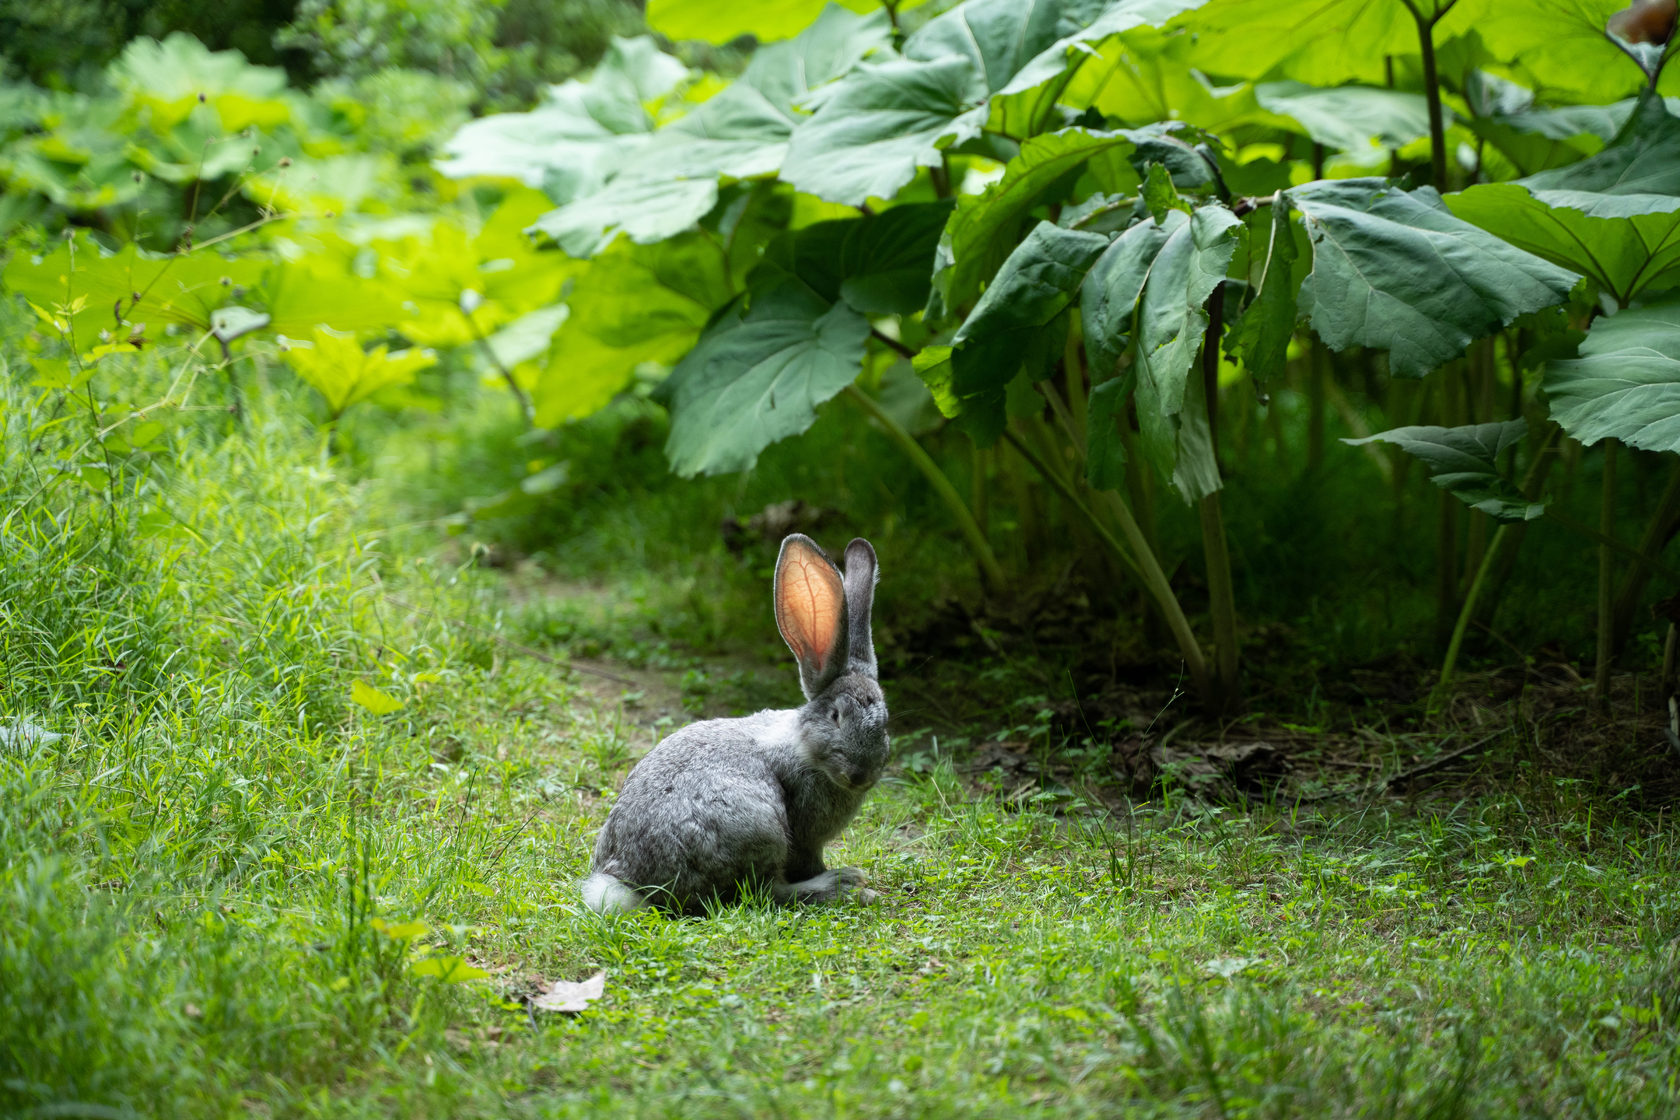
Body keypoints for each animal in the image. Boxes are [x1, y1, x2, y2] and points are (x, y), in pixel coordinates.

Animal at [584, 533, 887, 913]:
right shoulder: (805, 838)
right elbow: (807, 861)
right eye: (836, 716)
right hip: (761, 830)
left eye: (885, 723)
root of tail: (629, 883)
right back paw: (845, 885)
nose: (861, 775)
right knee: (763, 893)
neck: (806, 750)